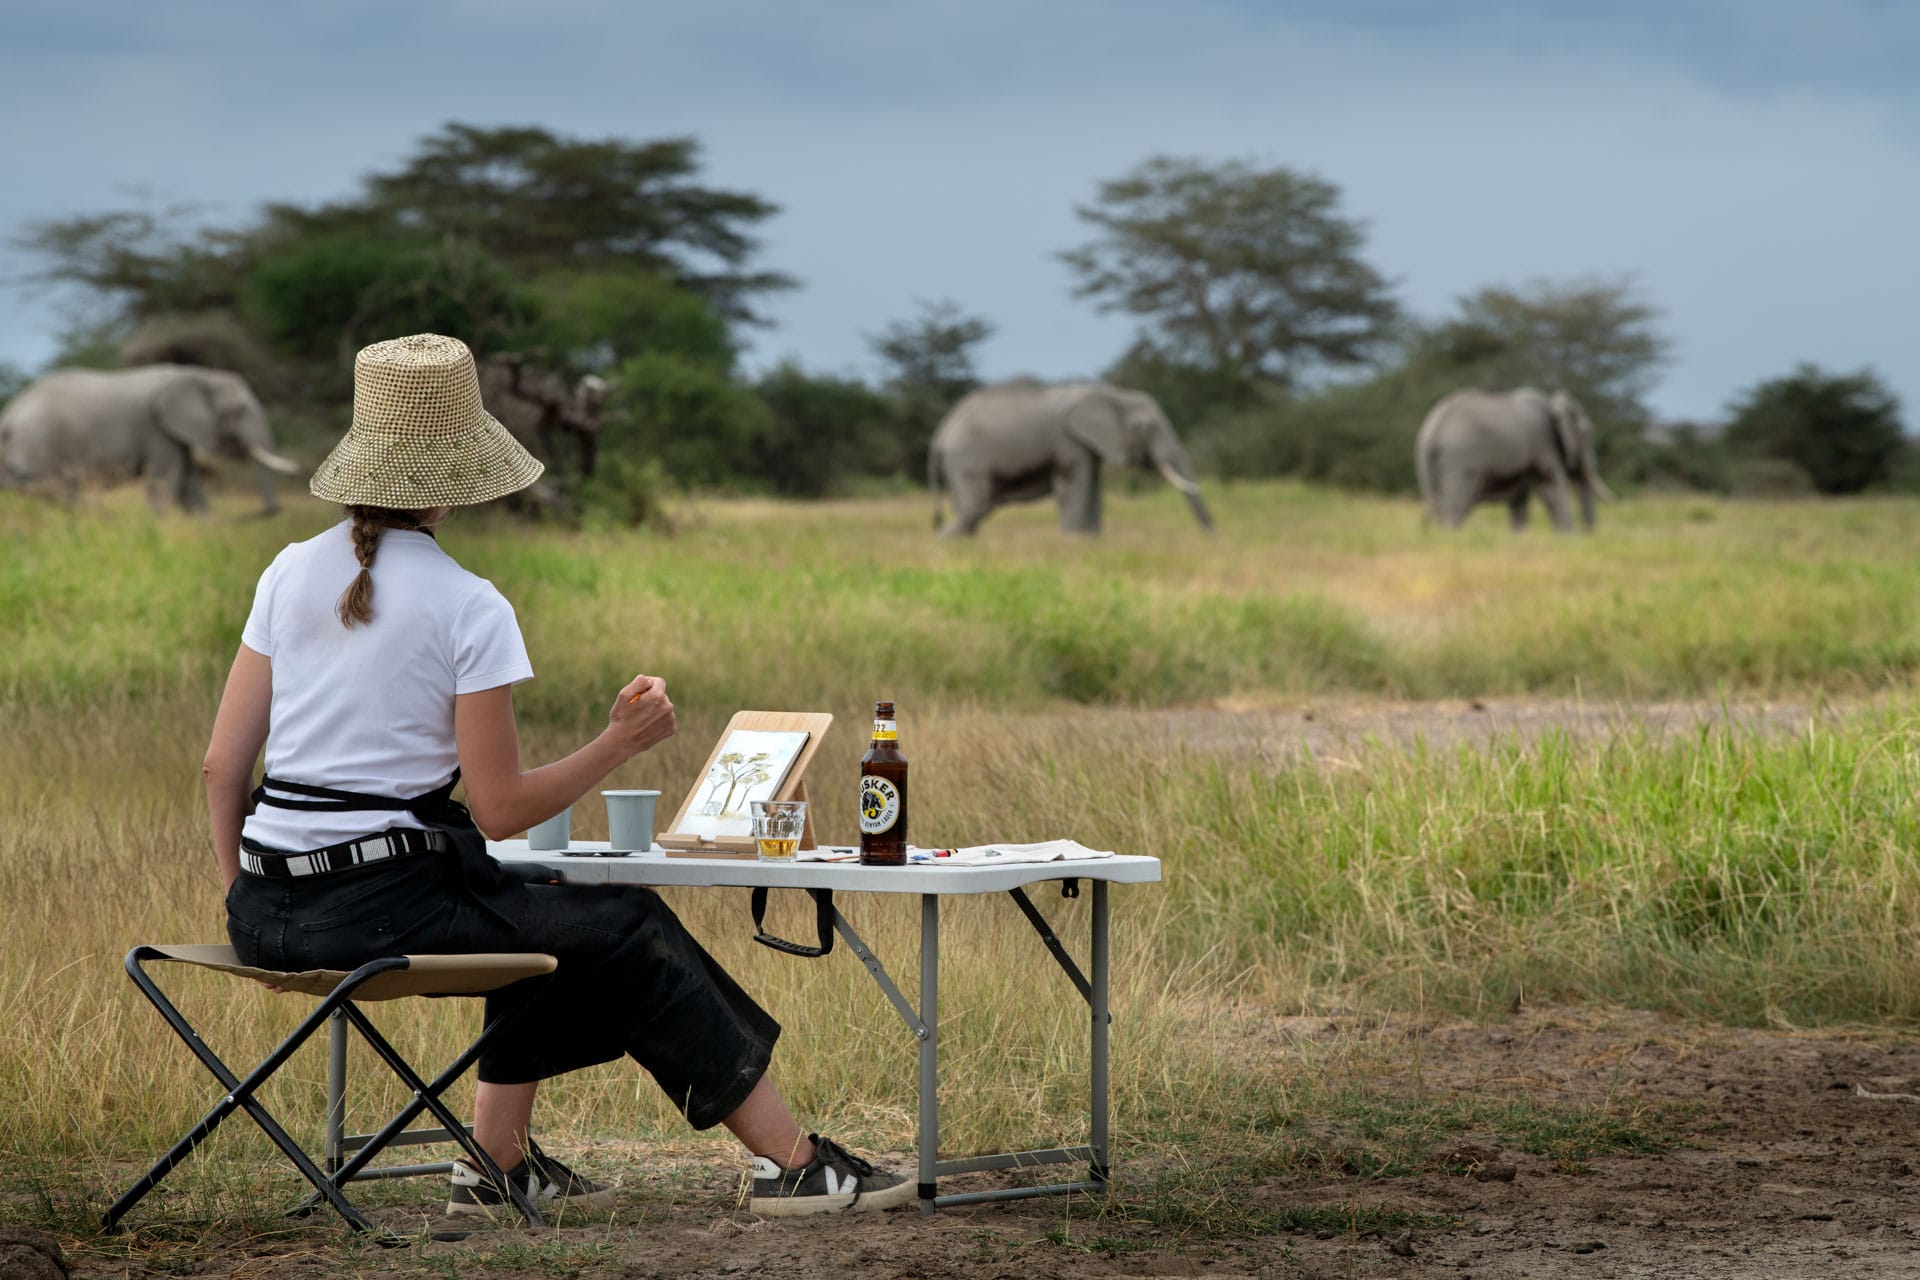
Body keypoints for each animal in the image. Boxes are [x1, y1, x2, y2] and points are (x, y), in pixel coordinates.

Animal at [0, 364, 298, 513]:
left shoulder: (177, 432)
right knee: (57, 487)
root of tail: (9, 414)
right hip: (37, 442)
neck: (197, 374)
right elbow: (166, 481)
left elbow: (188, 483)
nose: (270, 511)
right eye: (240, 410)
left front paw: (205, 525)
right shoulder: (157, 428)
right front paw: (160, 527)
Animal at [928, 380, 1213, 536]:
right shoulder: (1069, 443)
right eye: (1149, 428)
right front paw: (1074, 543)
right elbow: (1074, 489)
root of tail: (941, 433)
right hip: (967, 458)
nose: (1211, 537)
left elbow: (1093, 492)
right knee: (978, 504)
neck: (1112, 393)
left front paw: (1090, 543)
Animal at [1415, 387, 1614, 531]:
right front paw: (1569, 537)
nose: (1589, 535)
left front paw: (1519, 536)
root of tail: (1433, 429)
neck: (1551, 403)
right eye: (1587, 431)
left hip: (1428, 465)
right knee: (1456, 505)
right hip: (1461, 458)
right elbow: (1551, 489)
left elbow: (1519, 499)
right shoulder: (1543, 443)